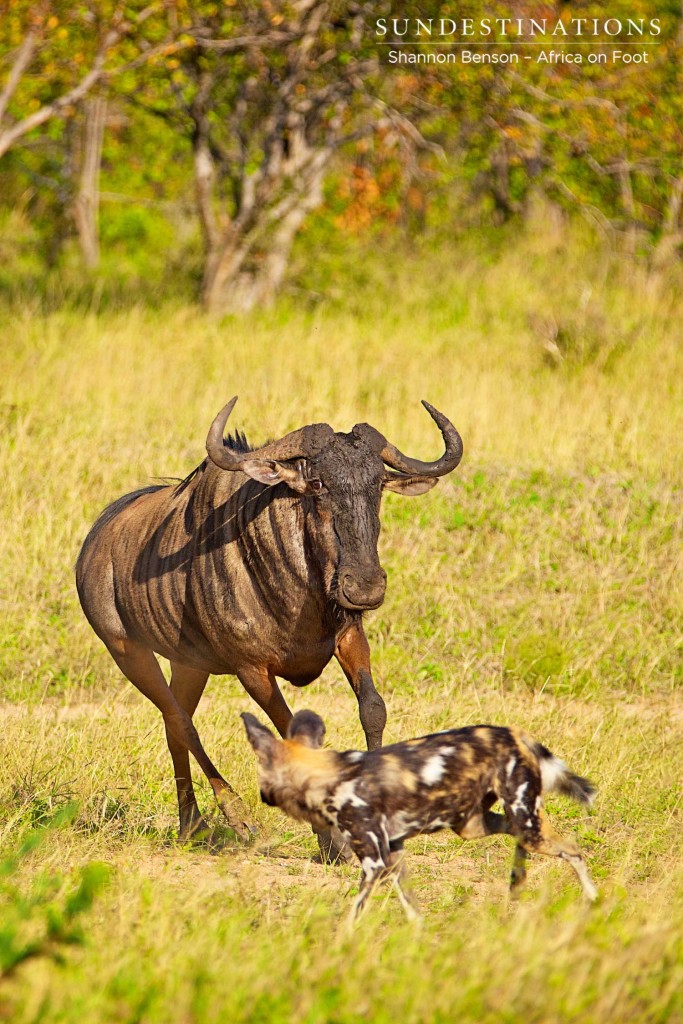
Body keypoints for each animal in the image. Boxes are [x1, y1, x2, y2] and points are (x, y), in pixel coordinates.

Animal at [240, 712, 598, 921]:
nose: (262, 795)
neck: (329, 775)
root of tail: (512, 732)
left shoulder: (374, 862)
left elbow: (354, 914)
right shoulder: (392, 854)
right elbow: (412, 909)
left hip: (522, 819)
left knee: (573, 849)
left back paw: (593, 899)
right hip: (475, 823)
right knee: (531, 838)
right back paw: (518, 884)